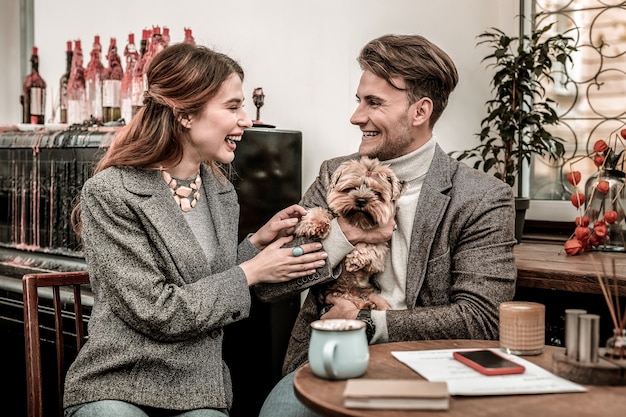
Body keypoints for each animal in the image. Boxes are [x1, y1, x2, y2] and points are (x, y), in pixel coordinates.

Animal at [296, 157, 404, 312]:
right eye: (351, 188)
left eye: (377, 193)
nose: (361, 200)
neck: (358, 220)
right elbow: (321, 210)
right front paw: (315, 224)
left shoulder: (378, 256)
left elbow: (370, 245)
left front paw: (355, 259)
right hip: (336, 292)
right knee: (345, 296)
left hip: (368, 293)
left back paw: (369, 304)